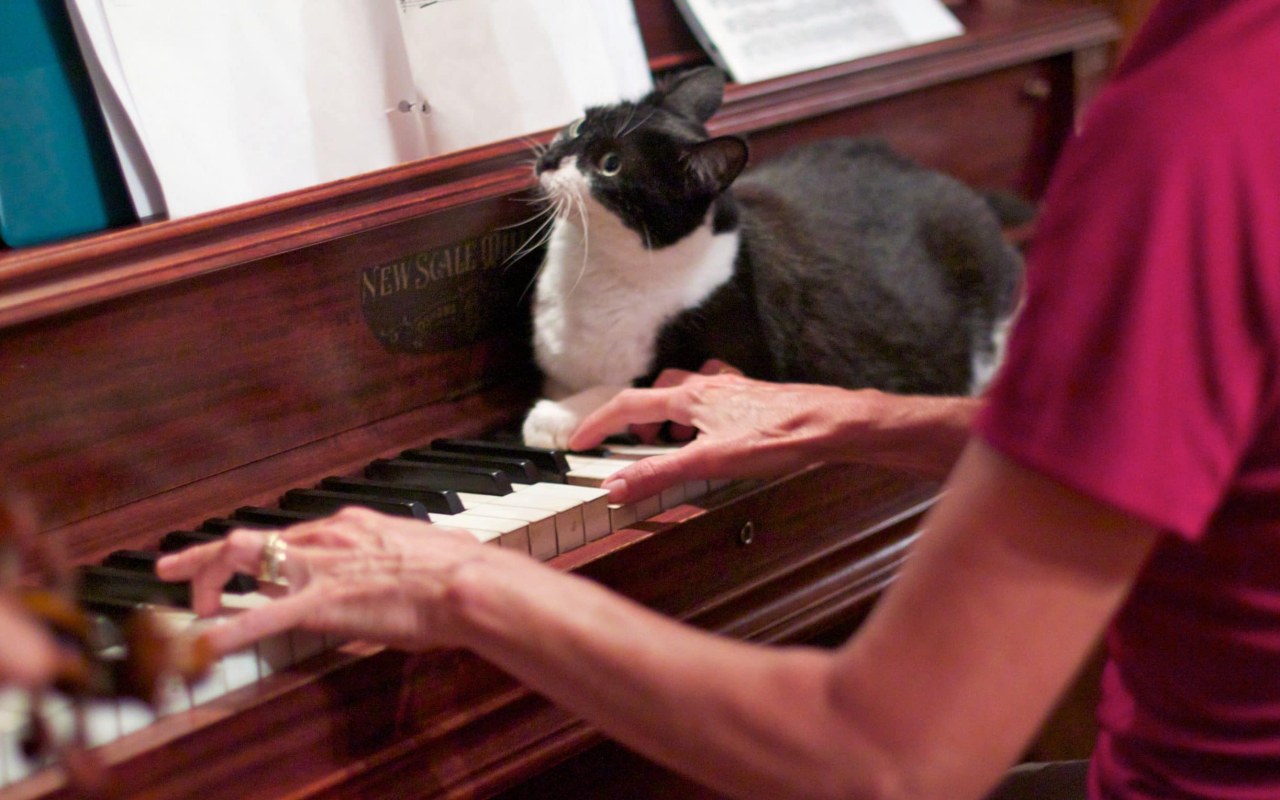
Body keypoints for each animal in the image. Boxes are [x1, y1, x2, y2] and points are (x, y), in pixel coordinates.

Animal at [514, 65, 1024, 453]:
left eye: (610, 165)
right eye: (579, 127)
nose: (551, 159)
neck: (596, 266)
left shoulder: (750, 365)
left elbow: (641, 385)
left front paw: (558, 416)